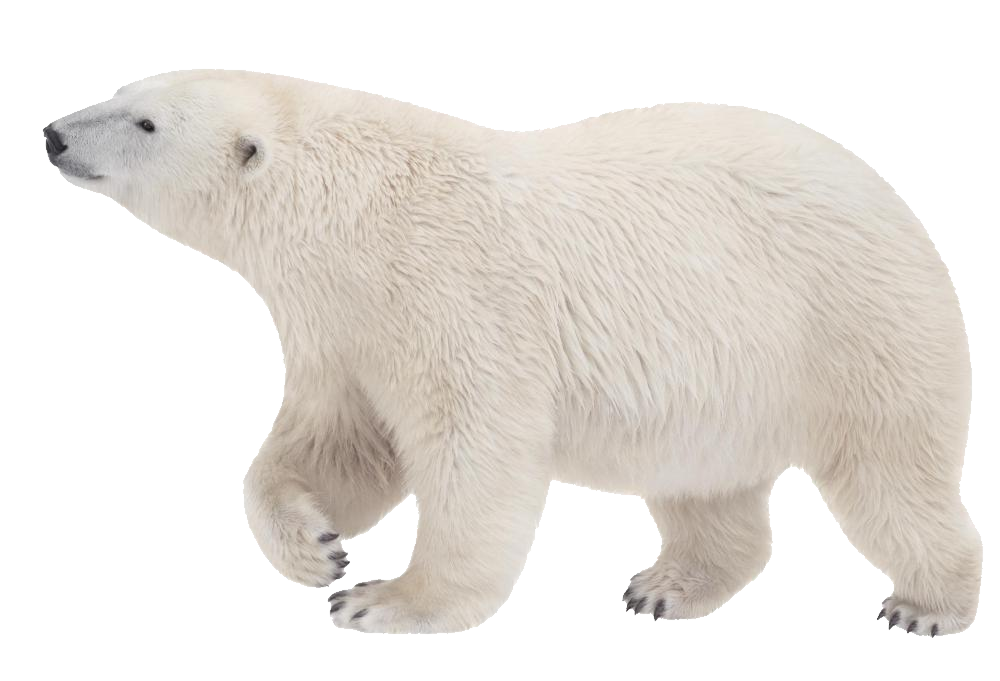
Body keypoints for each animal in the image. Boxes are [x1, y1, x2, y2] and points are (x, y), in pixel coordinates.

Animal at [44, 68, 981, 636]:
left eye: (144, 121)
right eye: (124, 86)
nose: (52, 132)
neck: (351, 209)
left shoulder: (448, 294)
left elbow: (475, 451)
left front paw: (383, 599)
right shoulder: (341, 324)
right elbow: (339, 443)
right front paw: (316, 546)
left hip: (851, 324)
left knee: (890, 476)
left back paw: (927, 604)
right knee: (705, 488)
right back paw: (665, 586)